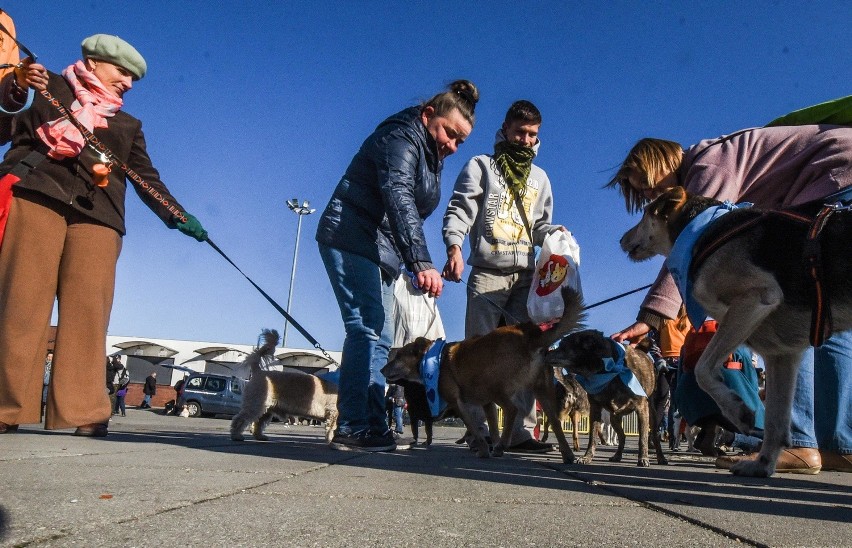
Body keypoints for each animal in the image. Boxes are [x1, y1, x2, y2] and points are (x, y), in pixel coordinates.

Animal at [382, 286, 584, 462]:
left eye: (398, 356)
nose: (381, 370)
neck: (433, 359)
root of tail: (531, 336)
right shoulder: (488, 404)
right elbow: (492, 429)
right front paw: (492, 447)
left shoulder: (460, 404)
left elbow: (475, 430)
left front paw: (485, 450)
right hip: (542, 390)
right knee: (555, 422)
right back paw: (567, 454)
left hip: (498, 386)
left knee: (513, 410)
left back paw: (504, 444)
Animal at [544, 330, 664, 466]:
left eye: (563, 345)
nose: (546, 351)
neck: (608, 372)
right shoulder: (595, 409)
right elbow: (592, 437)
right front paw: (587, 457)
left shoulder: (642, 409)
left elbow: (642, 437)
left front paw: (643, 458)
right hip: (614, 419)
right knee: (622, 437)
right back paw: (617, 456)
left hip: (651, 416)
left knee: (654, 436)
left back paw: (661, 458)